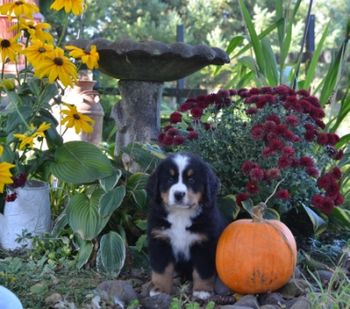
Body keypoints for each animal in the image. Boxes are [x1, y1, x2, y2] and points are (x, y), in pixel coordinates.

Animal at [146, 152, 226, 298]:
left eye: (192, 180)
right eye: (170, 179)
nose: (179, 194)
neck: (180, 215)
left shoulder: (204, 243)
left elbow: (202, 270)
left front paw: (202, 290)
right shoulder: (160, 240)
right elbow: (161, 270)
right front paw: (160, 289)